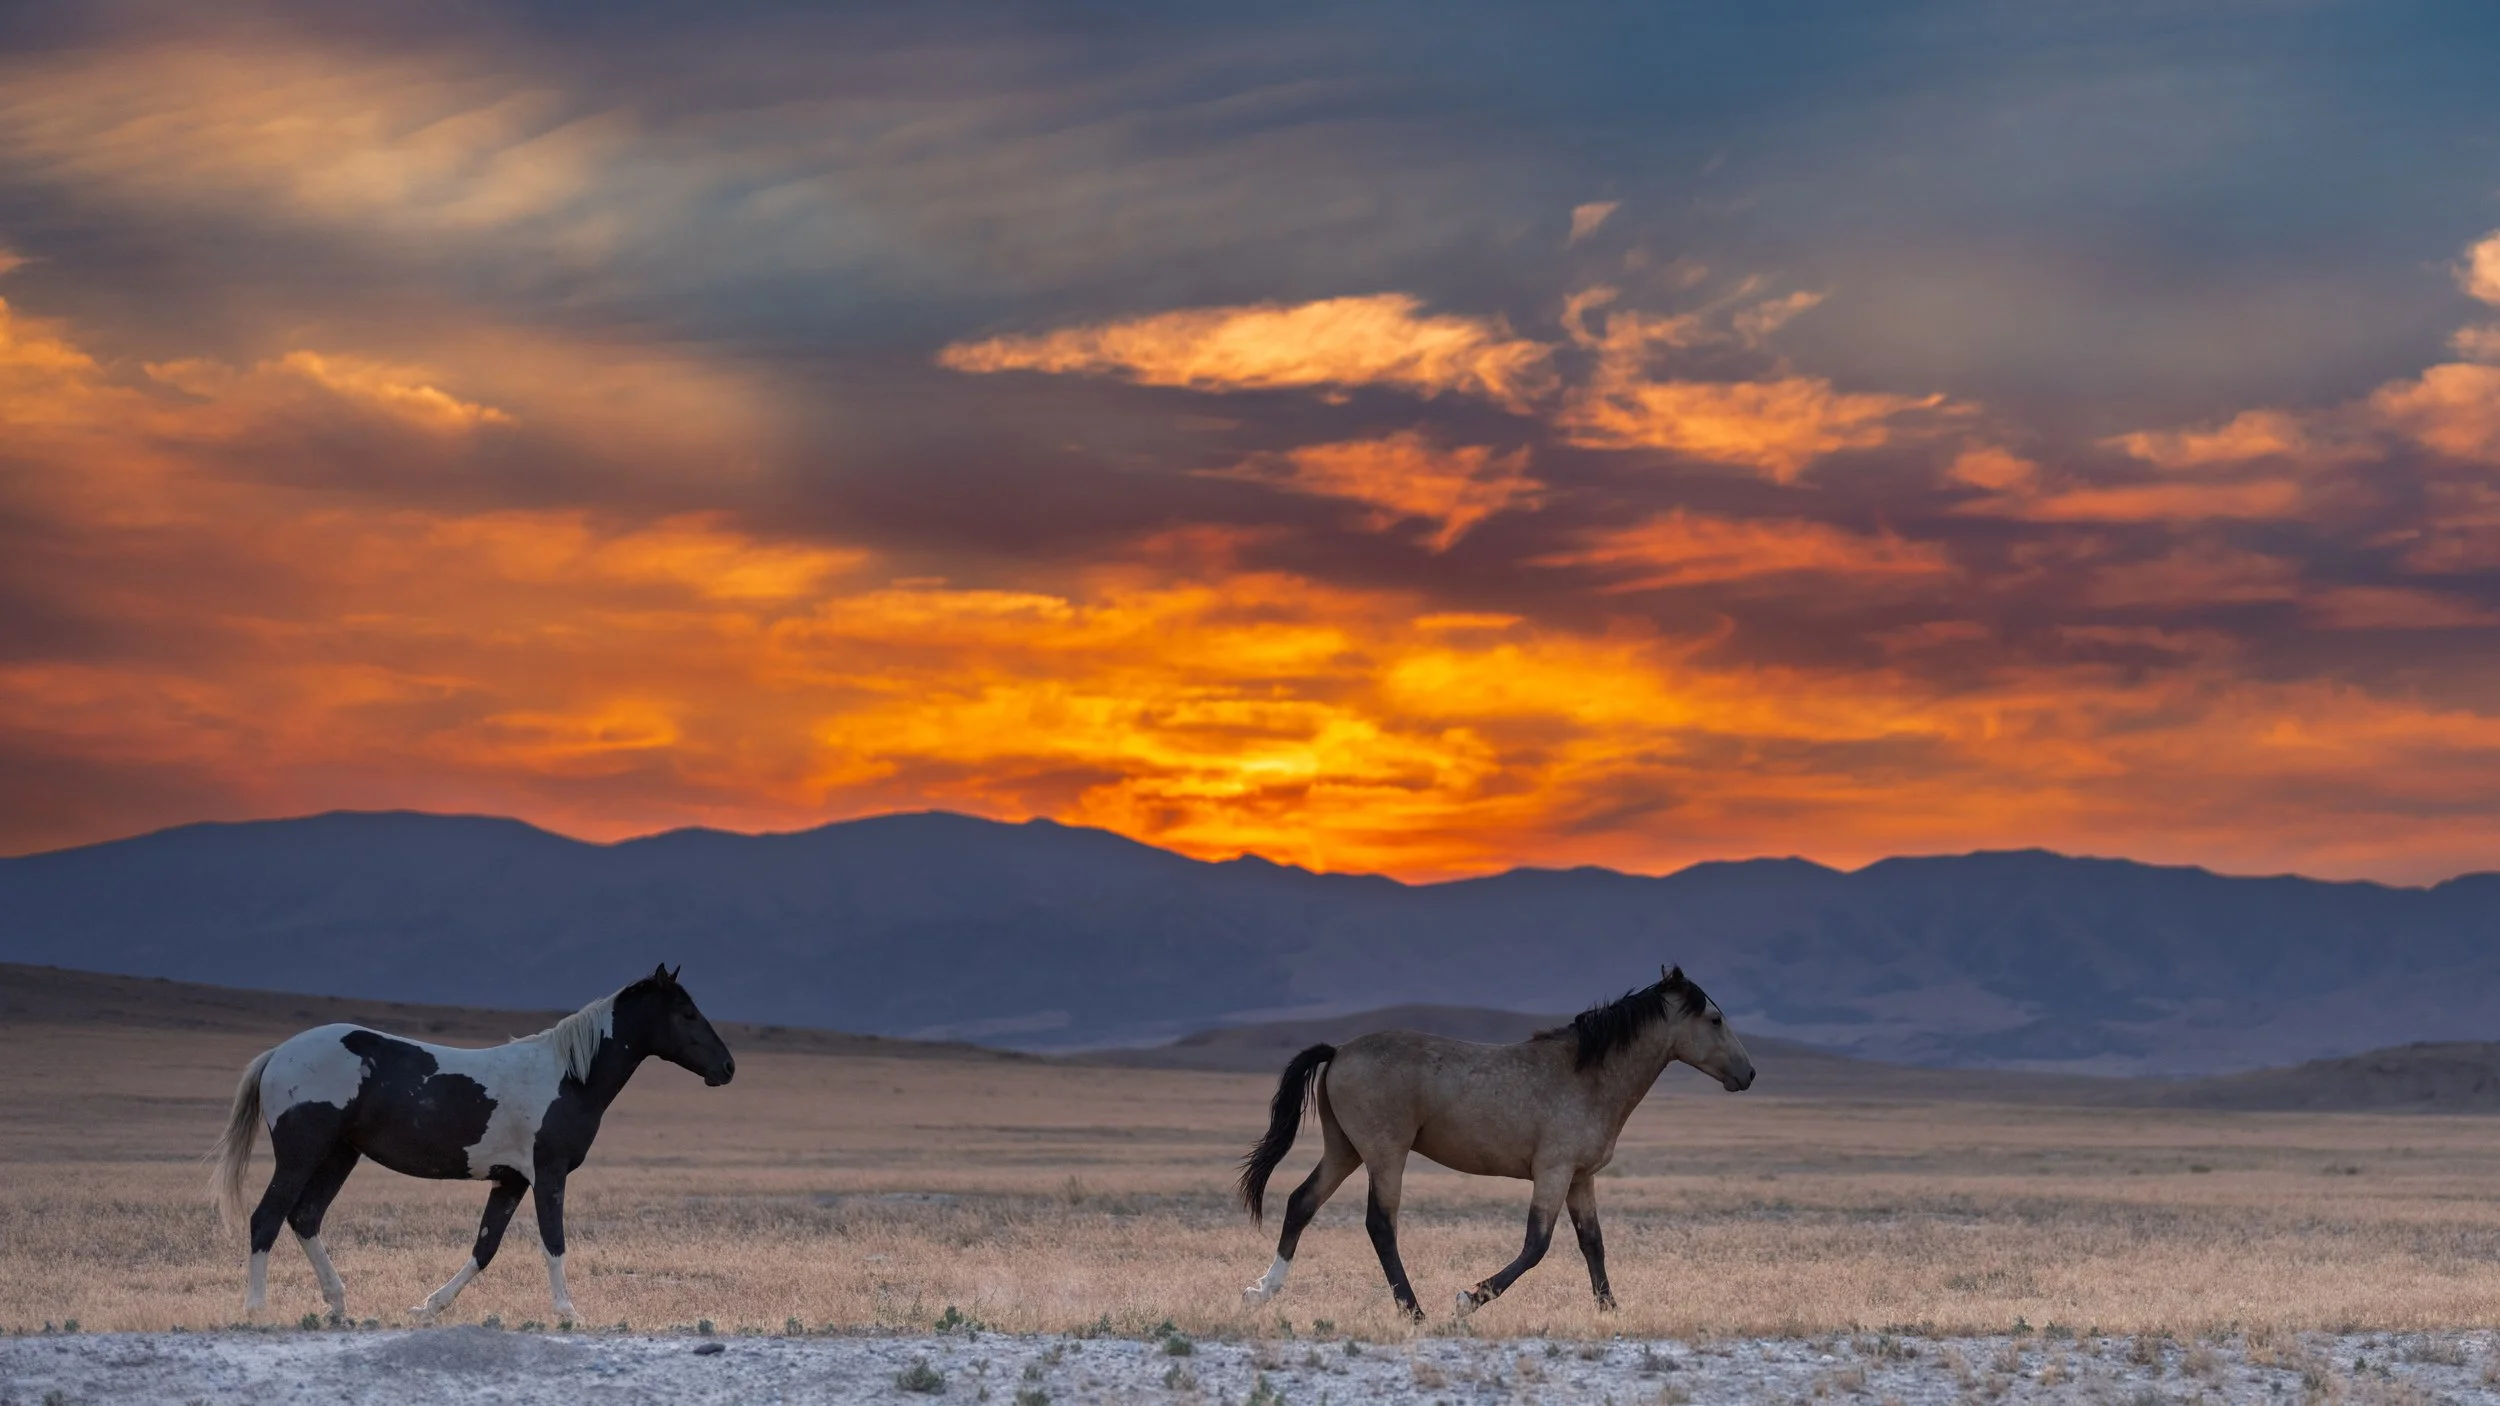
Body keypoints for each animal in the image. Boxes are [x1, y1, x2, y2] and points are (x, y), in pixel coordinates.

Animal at [209, 964, 735, 1323]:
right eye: (687, 1013)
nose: (727, 1067)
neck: (568, 1077)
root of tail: (279, 1053)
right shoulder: (548, 1174)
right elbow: (553, 1242)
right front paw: (568, 1313)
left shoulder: (511, 1181)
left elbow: (486, 1247)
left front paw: (428, 1307)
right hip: (302, 1154)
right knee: (267, 1217)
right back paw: (256, 1309)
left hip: (340, 1154)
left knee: (305, 1217)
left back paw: (338, 1305)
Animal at [1236, 965, 1753, 1321]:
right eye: (1714, 1019)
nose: (1748, 1074)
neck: (1587, 1076)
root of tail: (1339, 1051)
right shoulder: (1553, 1174)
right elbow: (1536, 1245)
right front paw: (1469, 1299)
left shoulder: (1580, 1178)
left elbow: (1593, 1243)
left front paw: (1610, 1310)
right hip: (1385, 1155)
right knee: (1380, 1225)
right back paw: (1414, 1311)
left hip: (1344, 1149)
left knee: (1302, 1202)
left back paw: (1262, 1291)